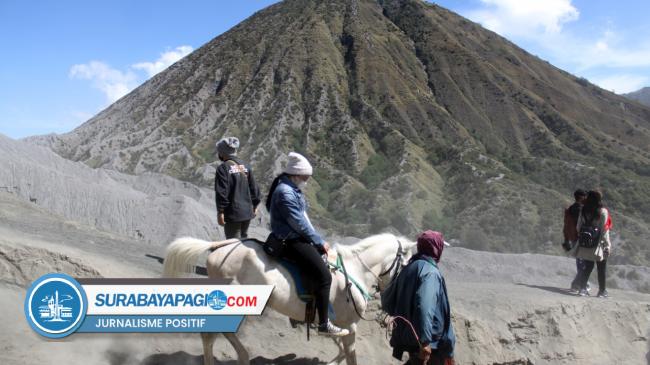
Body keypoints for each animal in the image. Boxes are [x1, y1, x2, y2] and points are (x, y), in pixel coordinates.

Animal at [162, 233, 416, 364]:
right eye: (405, 265)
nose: (390, 298)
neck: (354, 271)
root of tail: (221, 246)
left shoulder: (341, 327)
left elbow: (342, 349)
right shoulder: (349, 326)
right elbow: (350, 355)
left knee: (211, 335)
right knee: (215, 334)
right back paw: (243, 356)